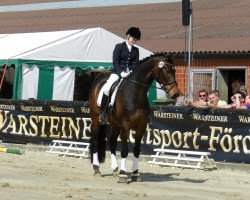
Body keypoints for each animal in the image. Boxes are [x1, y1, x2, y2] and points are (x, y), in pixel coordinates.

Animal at [89, 53, 179, 183]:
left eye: (174, 70)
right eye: (166, 70)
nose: (175, 94)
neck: (135, 94)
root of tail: (99, 79)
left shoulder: (141, 127)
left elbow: (136, 150)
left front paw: (135, 174)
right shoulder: (125, 127)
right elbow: (125, 150)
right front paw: (123, 175)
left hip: (115, 125)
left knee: (112, 142)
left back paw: (115, 169)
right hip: (96, 120)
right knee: (95, 140)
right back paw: (97, 169)